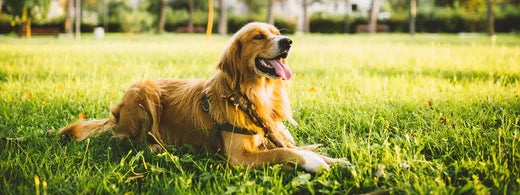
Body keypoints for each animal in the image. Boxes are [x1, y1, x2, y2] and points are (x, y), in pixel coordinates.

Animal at [59, 22, 344, 173]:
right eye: (258, 36)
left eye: (276, 32)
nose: (288, 41)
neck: (249, 95)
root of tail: (116, 113)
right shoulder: (239, 157)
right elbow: (286, 152)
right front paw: (314, 161)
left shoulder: (267, 136)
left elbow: (294, 146)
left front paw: (338, 161)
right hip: (143, 92)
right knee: (129, 140)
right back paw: (157, 146)